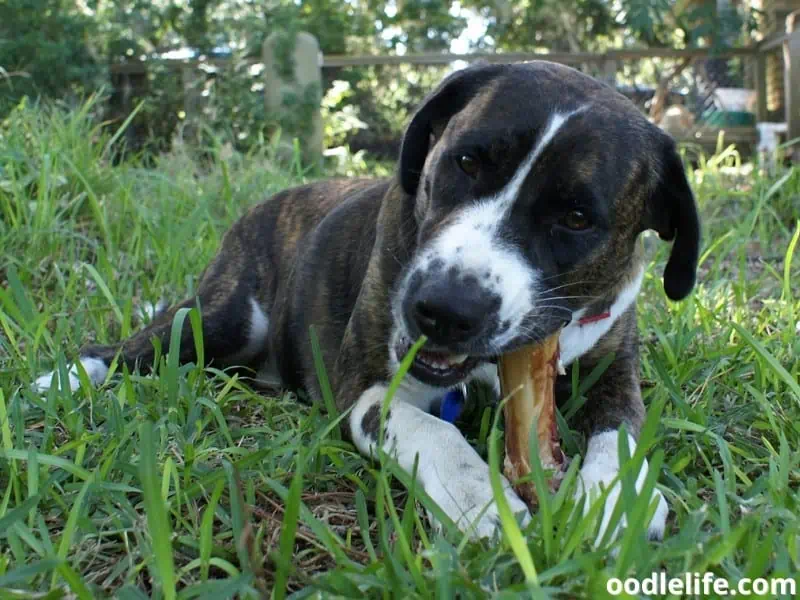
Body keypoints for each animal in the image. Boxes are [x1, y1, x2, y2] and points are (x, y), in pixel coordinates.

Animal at [37, 61, 700, 540]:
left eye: (578, 218)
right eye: (465, 160)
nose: (444, 308)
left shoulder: (615, 373)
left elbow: (622, 436)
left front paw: (617, 503)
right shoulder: (366, 389)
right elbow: (432, 431)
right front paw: (480, 500)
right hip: (222, 316)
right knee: (135, 345)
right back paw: (66, 378)